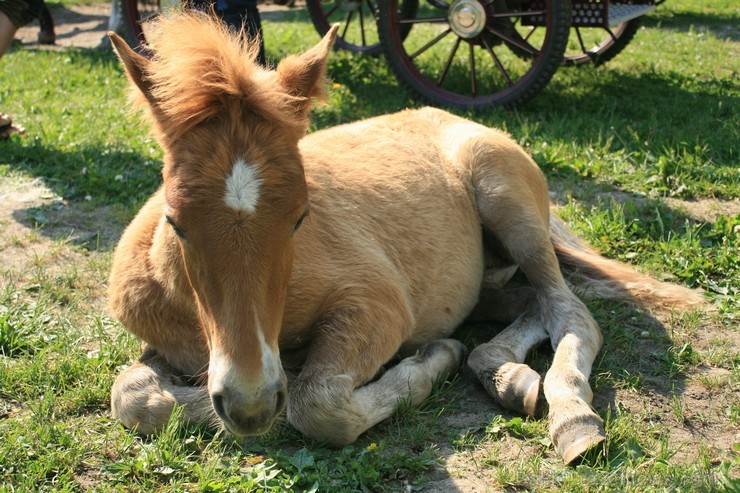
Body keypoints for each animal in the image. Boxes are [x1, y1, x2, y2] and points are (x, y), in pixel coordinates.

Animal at [107, 12, 704, 466]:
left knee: (569, 309)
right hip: (482, 284)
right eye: (175, 222)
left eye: (301, 217)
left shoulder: (378, 304)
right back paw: (505, 374)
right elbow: (130, 395)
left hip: (507, 201)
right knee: (530, 303)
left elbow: (314, 405)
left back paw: (570, 417)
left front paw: (432, 361)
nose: (250, 403)